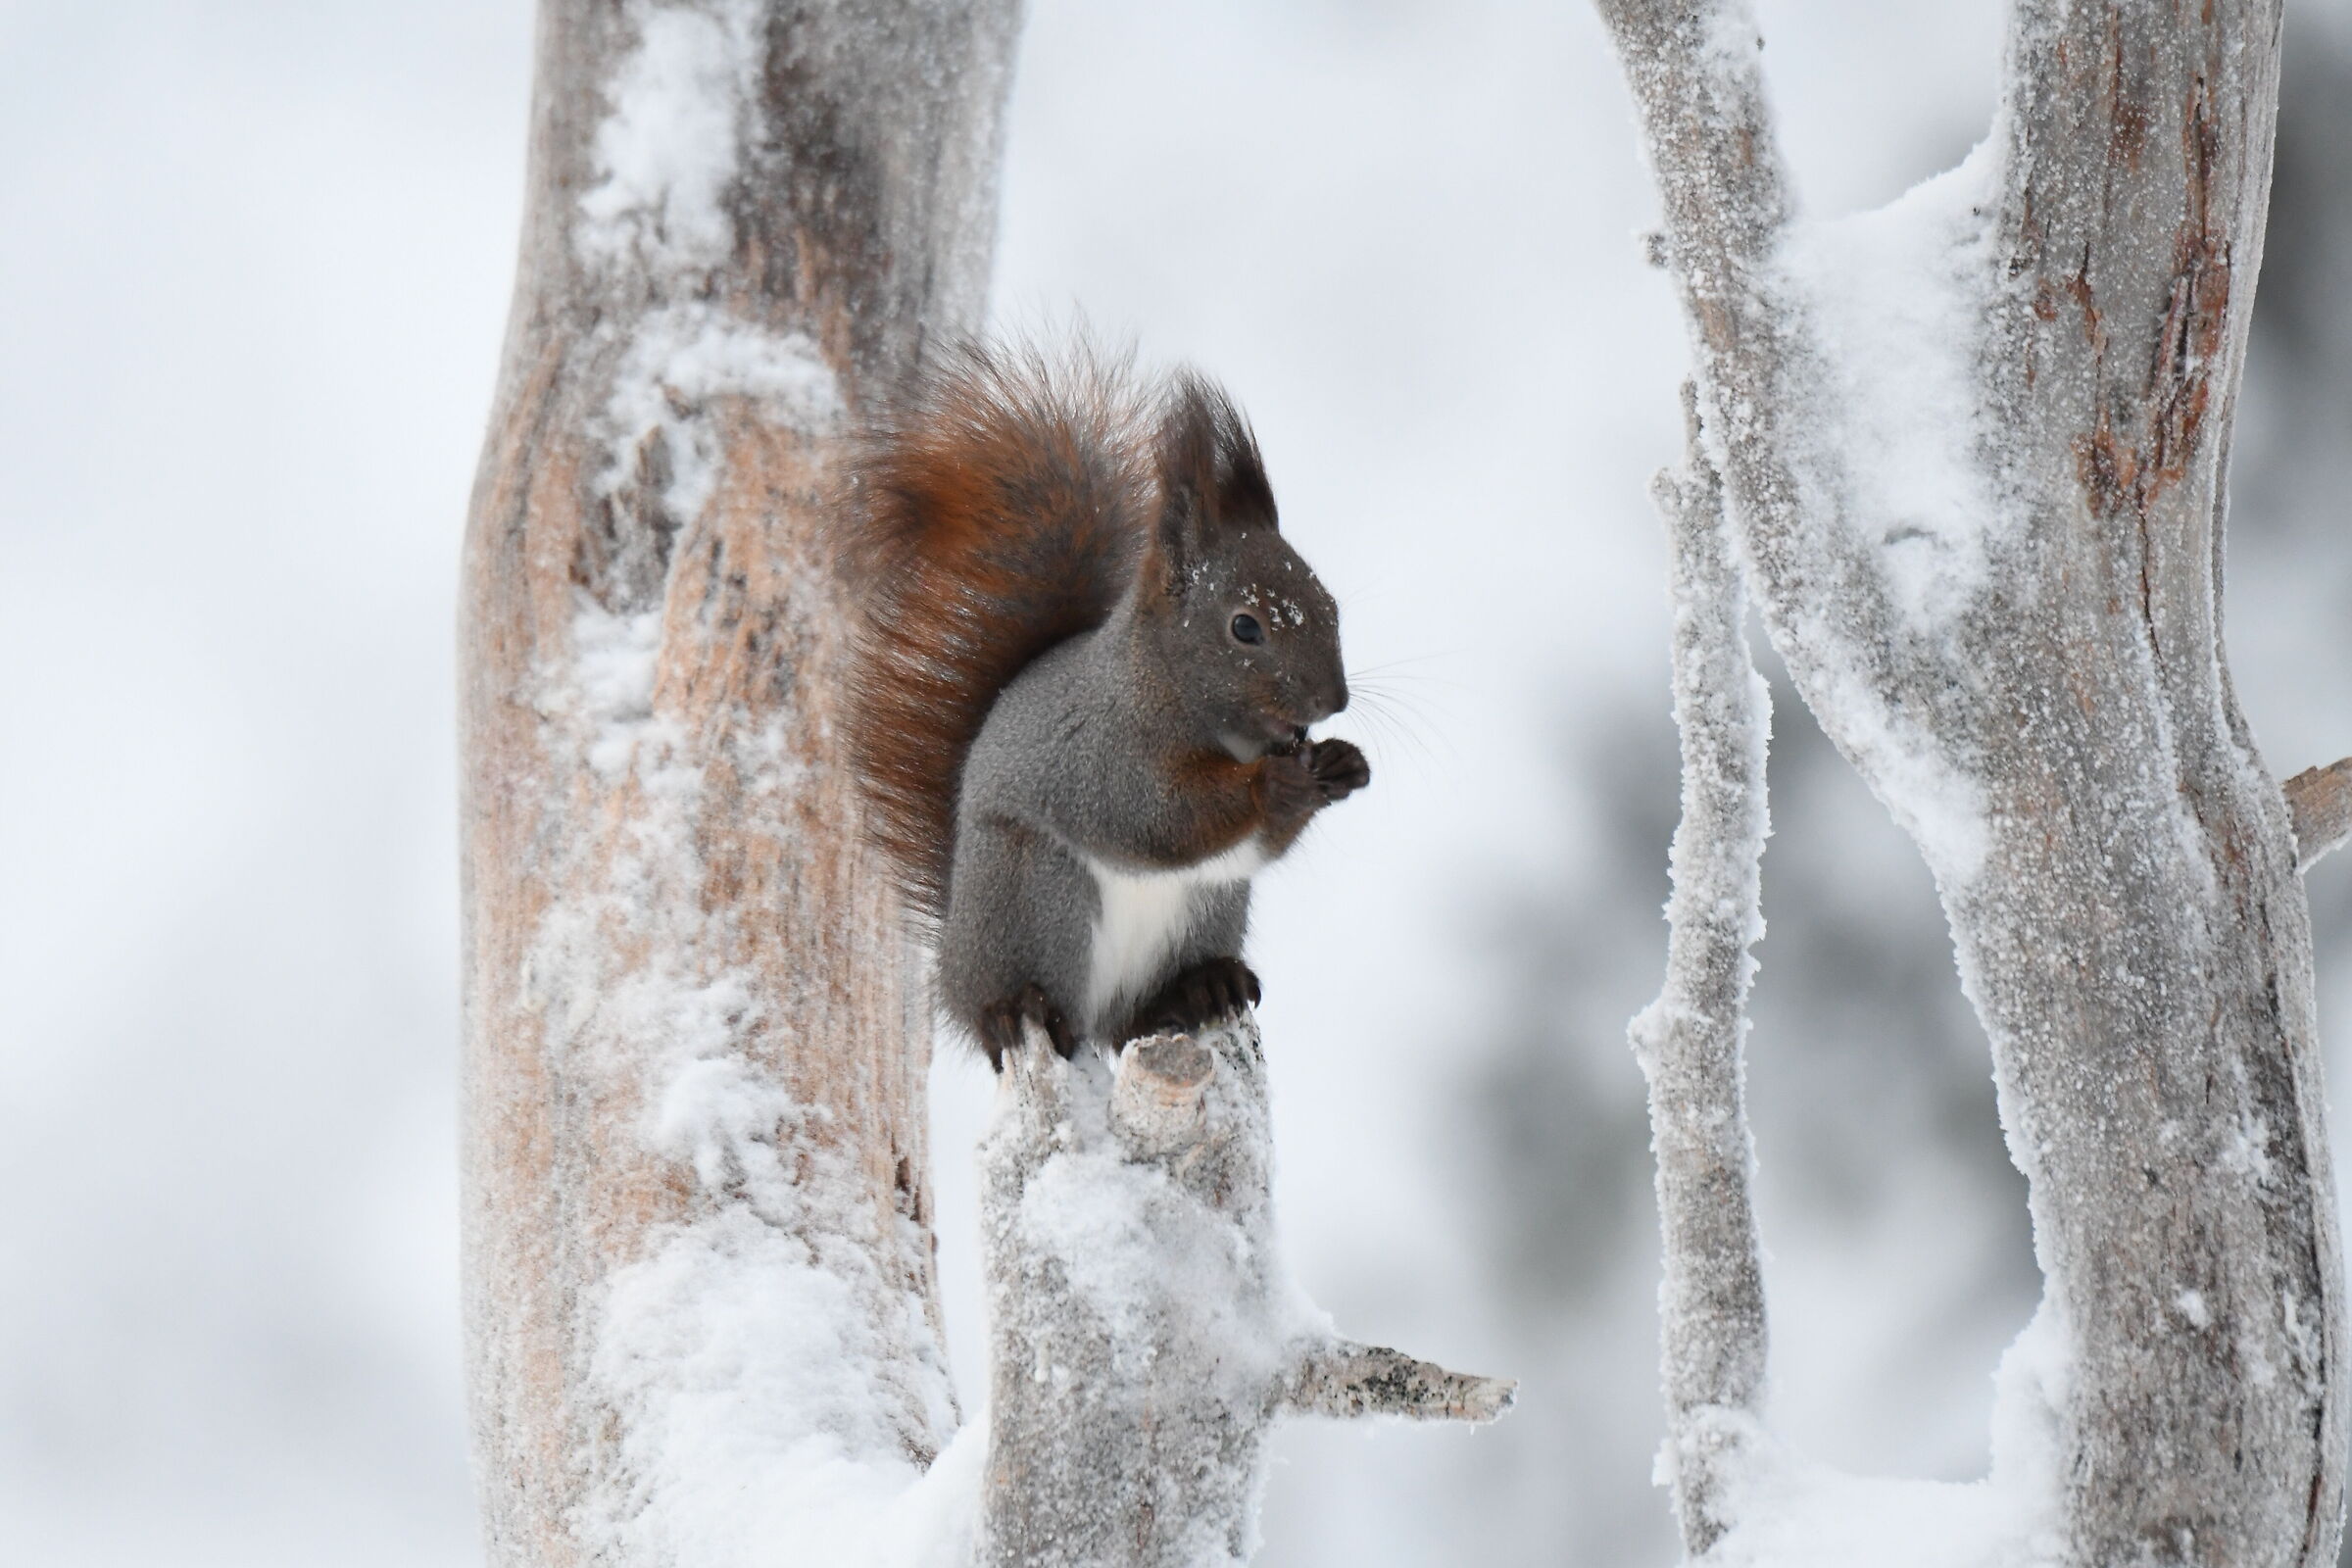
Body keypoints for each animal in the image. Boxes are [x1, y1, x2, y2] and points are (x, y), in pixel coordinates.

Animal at [842, 342, 1369, 1067]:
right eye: (1245, 627)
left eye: (1331, 606)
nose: (1333, 700)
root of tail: (954, 973)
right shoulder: (1101, 751)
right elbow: (1156, 817)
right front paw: (1273, 783)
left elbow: (1257, 844)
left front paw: (1341, 764)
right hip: (1039, 898)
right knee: (1051, 1008)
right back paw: (1021, 1011)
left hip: (1206, 912)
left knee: (1132, 1021)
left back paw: (1199, 988)